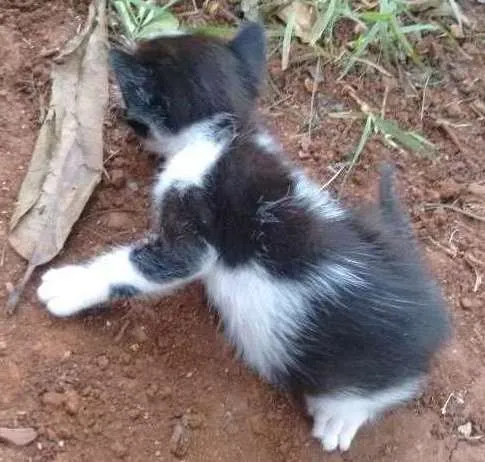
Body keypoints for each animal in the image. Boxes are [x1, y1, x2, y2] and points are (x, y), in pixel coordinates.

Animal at [37, 22, 450, 452]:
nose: (119, 111)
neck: (227, 130)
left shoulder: (196, 213)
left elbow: (158, 263)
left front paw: (72, 285)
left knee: (380, 390)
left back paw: (340, 418)